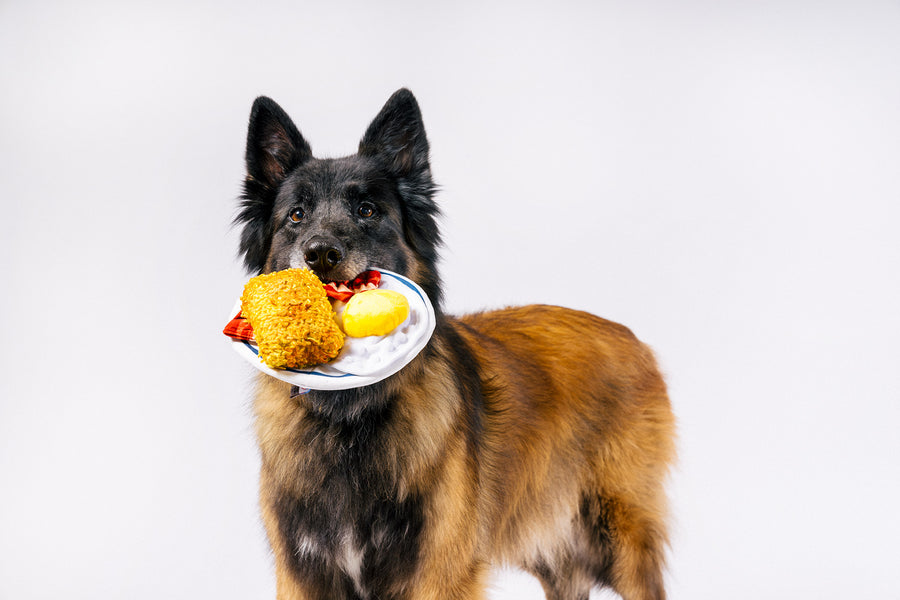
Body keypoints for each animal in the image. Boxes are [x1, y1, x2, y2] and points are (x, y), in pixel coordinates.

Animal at [234, 89, 676, 600]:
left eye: (367, 211)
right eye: (296, 215)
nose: (321, 253)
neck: (350, 413)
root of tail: (631, 337)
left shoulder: (439, 570)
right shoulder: (303, 574)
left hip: (619, 540)